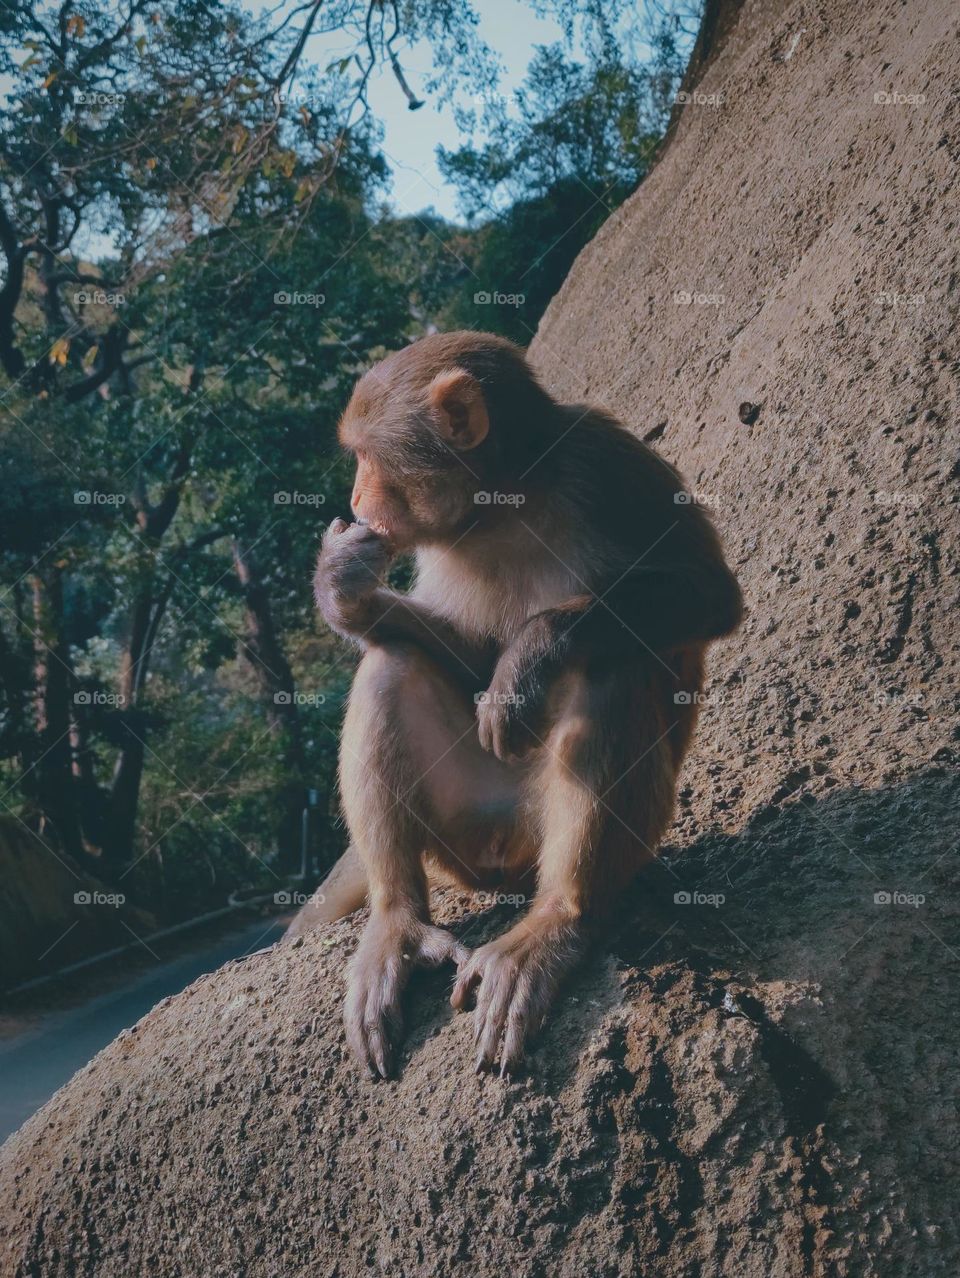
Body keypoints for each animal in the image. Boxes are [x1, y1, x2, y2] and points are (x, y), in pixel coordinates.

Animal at [295, 331, 742, 1079]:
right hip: (463, 838)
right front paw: (342, 591)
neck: (504, 502)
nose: (354, 497)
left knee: (611, 667)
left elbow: (709, 594)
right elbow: (463, 654)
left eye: (368, 456)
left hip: (584, 836)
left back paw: (557, 921)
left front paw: (531, 656)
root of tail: (506, 858)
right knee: (392, 663)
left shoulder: (606, 463)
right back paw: (398, 924)